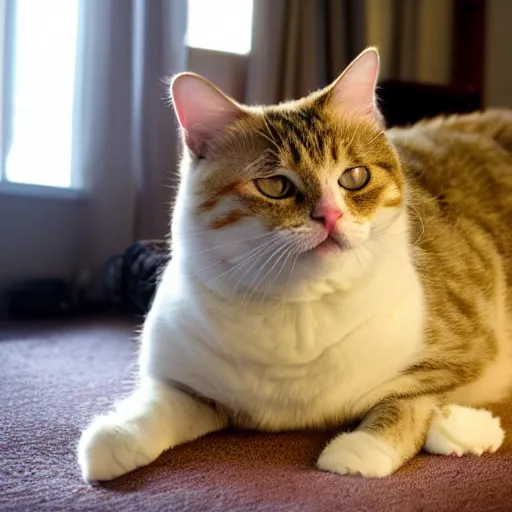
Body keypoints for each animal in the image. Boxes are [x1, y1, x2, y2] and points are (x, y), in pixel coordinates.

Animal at [77, 47, 512, 480]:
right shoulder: (193, 388)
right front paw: (117, 436)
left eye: (355, 176)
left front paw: (362, 448)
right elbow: (156, 404)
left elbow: (405, 404)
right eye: (274, 186)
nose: (330, 216)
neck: (300, 308)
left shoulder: (458, 358)